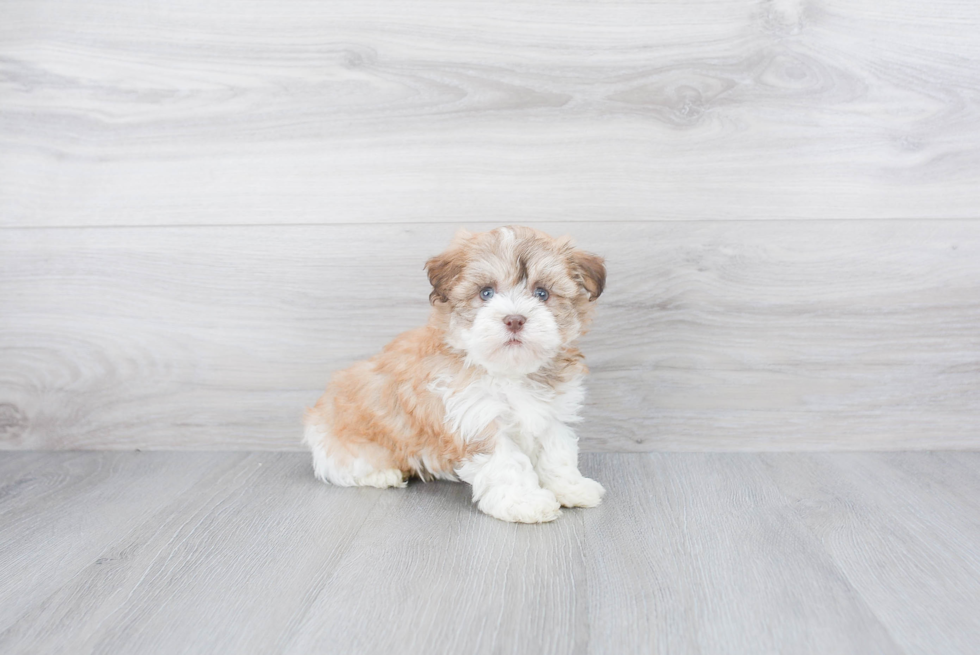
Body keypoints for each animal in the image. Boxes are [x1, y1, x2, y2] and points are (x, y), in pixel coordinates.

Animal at [302, 226, 608, 524]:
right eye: (486, 293)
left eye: (542, 293)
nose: (514, 319)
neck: (508, 370)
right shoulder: (478, 421)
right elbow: (507, 464)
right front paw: (524, 502)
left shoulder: (552, 414)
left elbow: (557, 453)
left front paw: (570, 488)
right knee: (338, 465)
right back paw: (382, 474)